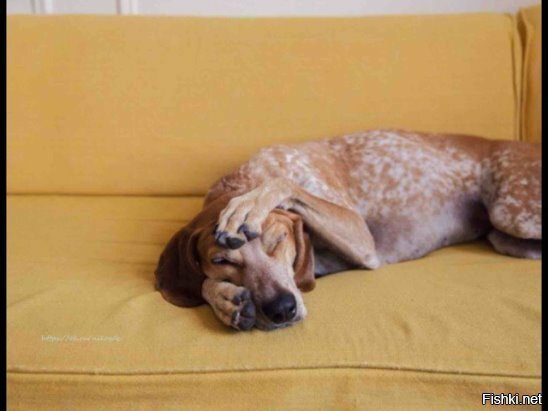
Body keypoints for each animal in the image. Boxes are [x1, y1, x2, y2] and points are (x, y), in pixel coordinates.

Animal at [155, 129, 541, 331]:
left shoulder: (360, 234)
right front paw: (224, 299)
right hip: (504, 234)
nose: (282, 309)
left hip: (512, 213)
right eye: (221, 261)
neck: (244, 178)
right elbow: (201, 282)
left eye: (278, 240)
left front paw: (247, 206)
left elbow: (282, 184)